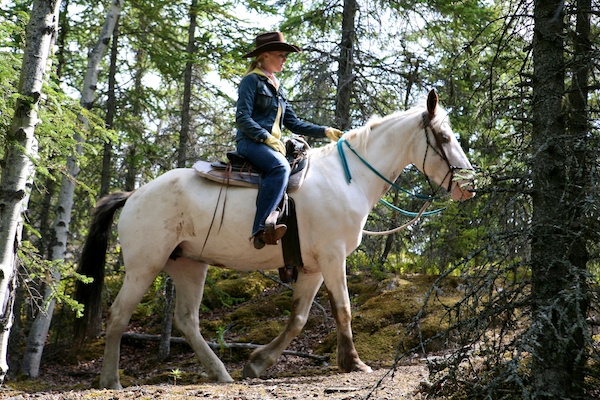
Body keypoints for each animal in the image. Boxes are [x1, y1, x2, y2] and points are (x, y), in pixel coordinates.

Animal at [76, 90, 474, 388]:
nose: (468, 185)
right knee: (119, 315)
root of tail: (134, 195)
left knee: (186, 320)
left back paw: (220, 373)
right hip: (144, 266)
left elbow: (298, 318)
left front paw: (257, 363)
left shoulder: (313, 267)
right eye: (444, 137)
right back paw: (111, 380)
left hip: (188, 264)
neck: (348, 178)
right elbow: (343, 308)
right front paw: (354, 362)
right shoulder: (333, 256)